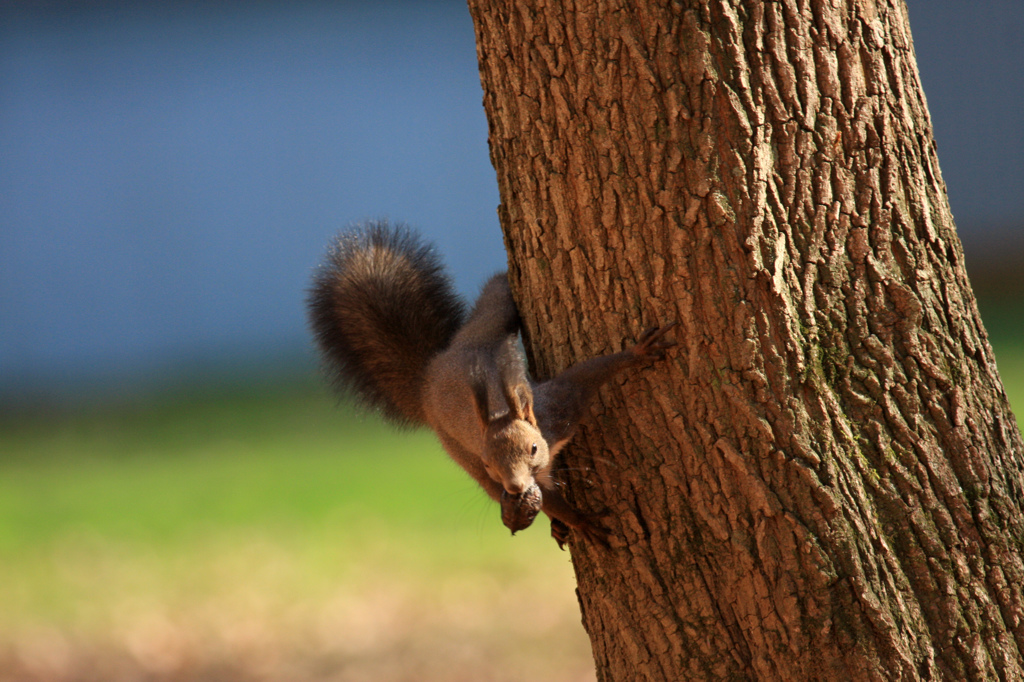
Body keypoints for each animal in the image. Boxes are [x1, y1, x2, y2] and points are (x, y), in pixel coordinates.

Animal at [307, 220, 675, 548]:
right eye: (488, 462)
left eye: (533, 448)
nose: (513, 488)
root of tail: (429, 378)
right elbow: (551, 499)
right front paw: (581, 522)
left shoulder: (560, 408)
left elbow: (589, 373)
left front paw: (639, 353)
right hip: (458, 447)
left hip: (489, 322)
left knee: (497, 296)